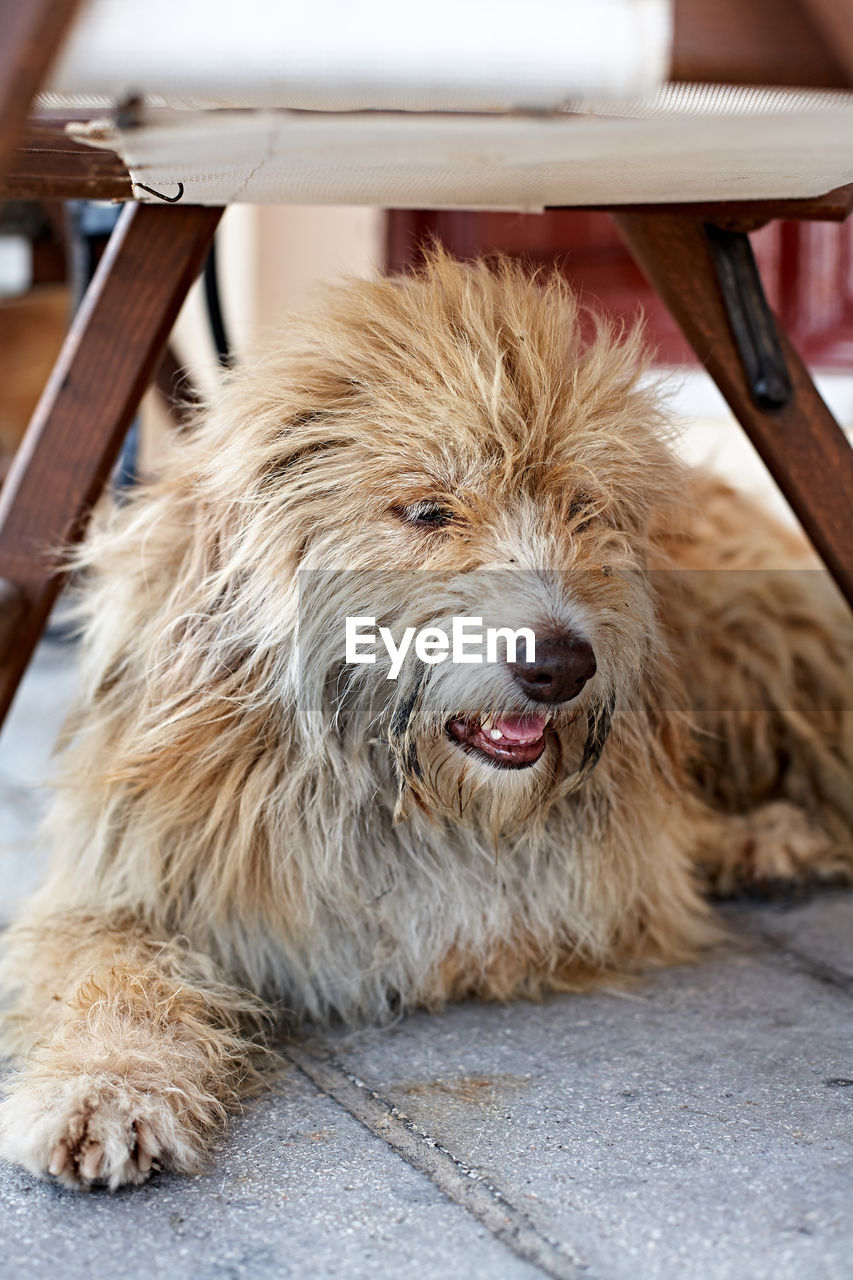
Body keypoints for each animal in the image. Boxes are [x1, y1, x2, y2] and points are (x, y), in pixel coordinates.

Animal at [1, 252, 850, 1187]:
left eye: (580, 509)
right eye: (428, 511)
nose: (560, 666)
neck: (386, 786)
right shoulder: (125, 871)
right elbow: (109, 968)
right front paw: (106, 1082)